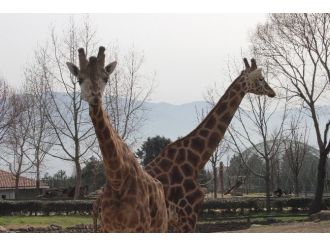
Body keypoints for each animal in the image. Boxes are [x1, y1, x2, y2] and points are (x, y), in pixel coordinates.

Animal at [66, 46, 169, 233]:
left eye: (106, 78)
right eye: (79, 79)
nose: (95, 96)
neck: (117, 179)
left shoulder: (139, 228)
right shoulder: (107, 227)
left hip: (160, 228)